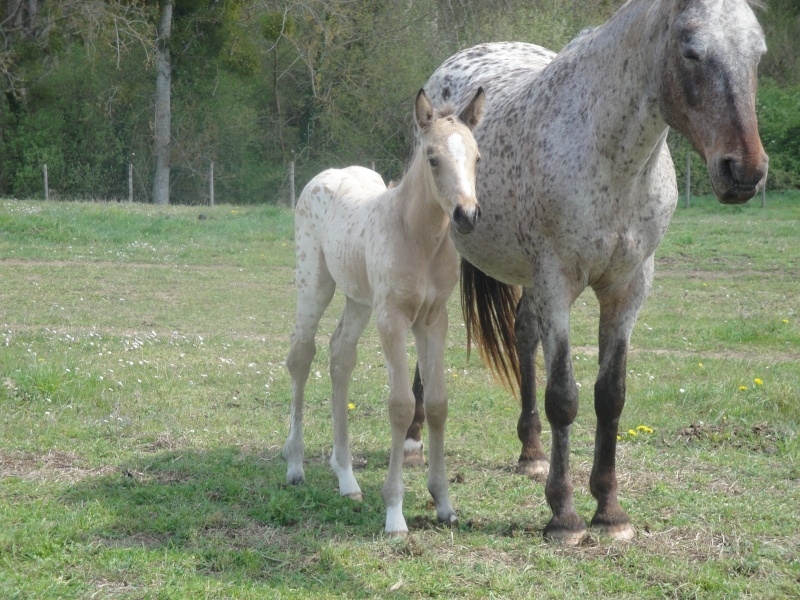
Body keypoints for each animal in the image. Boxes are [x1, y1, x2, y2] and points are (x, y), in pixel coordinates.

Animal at [404, 0, 772, 544]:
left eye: (758, 53)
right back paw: (411, 441)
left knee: (523, 335)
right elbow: (564, 397)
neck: (613, 161)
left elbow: (609, 396)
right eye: (691, 51)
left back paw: (531, 453)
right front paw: (564, 515)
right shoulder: (559, 283)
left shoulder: (627, 288)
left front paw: (610, 509)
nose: (744, 171)